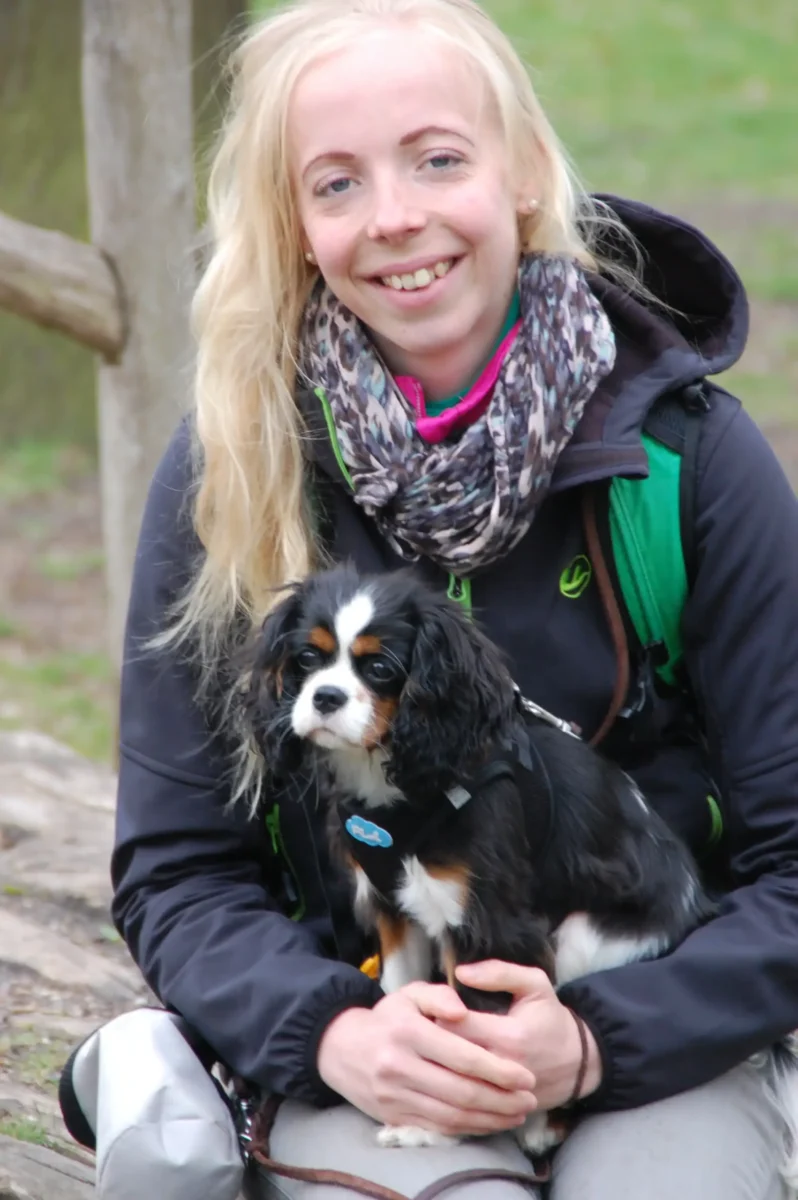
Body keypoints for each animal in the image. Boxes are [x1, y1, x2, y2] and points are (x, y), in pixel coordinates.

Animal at [242, 566, 796, 1176]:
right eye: (306, 659)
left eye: (380, 667)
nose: (325, 696)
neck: (401, 788)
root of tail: (698, 904)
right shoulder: (395, 912)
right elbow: (403, 998)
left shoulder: (491, 930)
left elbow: (471, 1036)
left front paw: (431, 1130)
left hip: (584, 938)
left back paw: (537, 1126)